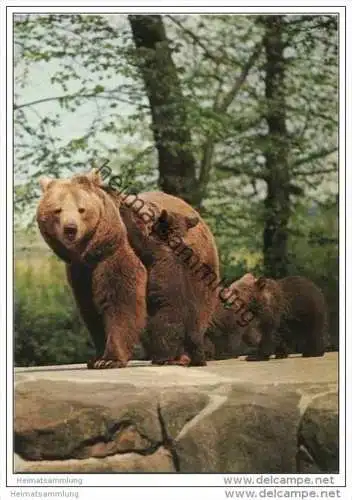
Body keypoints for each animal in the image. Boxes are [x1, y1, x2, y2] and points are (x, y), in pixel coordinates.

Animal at [37, 170, 148, 370]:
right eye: (57, 210)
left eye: (81, 209)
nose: (70, 229)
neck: (87, 251)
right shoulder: (80, 272)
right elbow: (89, 307)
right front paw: (96, 358)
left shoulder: (112, 255)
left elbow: (119, 297)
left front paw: (109, 359)